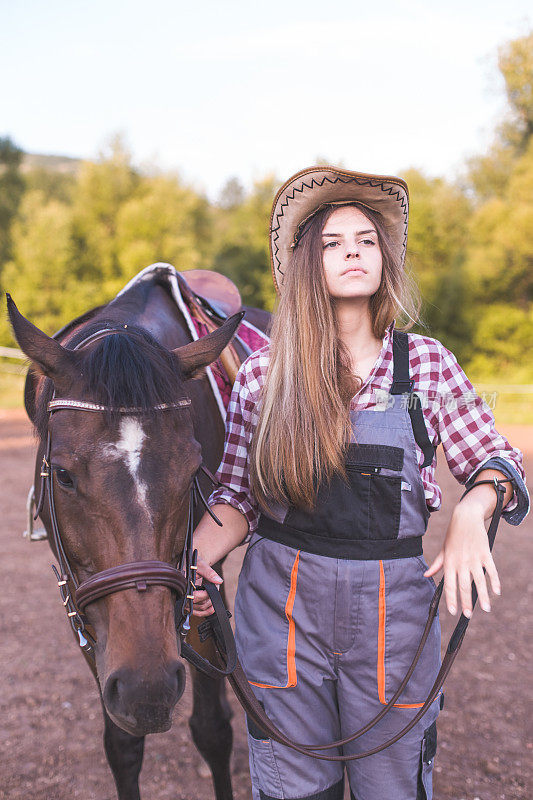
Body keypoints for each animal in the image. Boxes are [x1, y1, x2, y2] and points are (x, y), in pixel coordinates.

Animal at [9, 270, 270, 800]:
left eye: (192, 470)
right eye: (62, 475)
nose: (147, 689)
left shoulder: (199, 581)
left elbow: (213, 729)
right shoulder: (80, 601)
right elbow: (123, 743)